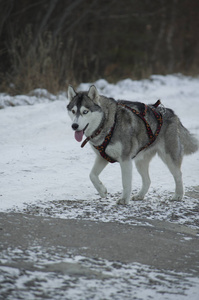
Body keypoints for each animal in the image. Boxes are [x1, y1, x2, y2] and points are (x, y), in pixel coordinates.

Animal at [67, 85, 197, 205]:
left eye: (85, 111)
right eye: (73, 111)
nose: (74, 126)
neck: (108, 123)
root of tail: (172, 113)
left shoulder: (125, 159)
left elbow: (125, 182)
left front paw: (124, 199)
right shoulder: (102, 157)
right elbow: (92, 175)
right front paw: (102, 191)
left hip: (169, 156)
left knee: (178, 174)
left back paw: (178, 195)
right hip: (140, 161)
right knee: (147, 180)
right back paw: (140, 195)